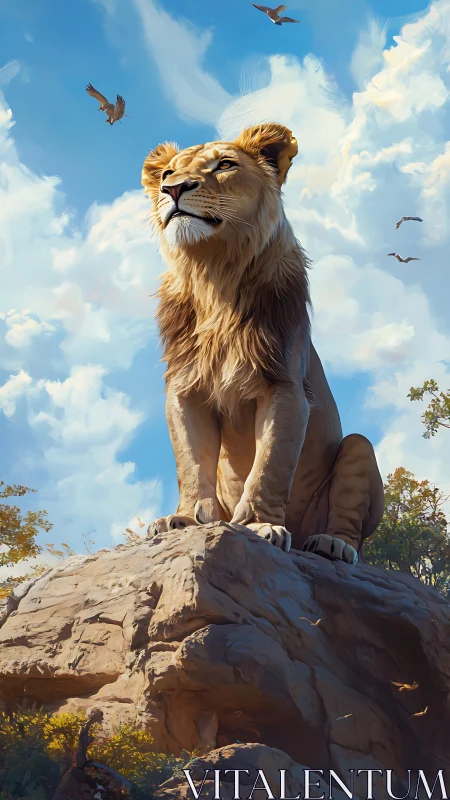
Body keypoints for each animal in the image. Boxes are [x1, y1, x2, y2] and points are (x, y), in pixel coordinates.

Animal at [142, 122, 384, 564]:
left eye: (224, 165)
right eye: (167, 173)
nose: (174, 189)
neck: (214, 277)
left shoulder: (285, 387)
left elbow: (270, 466)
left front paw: (257, 526)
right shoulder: (184, 390)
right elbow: (191, 462)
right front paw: (182, 520)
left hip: (359, 449)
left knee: (349, 526)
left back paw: (332, 544)